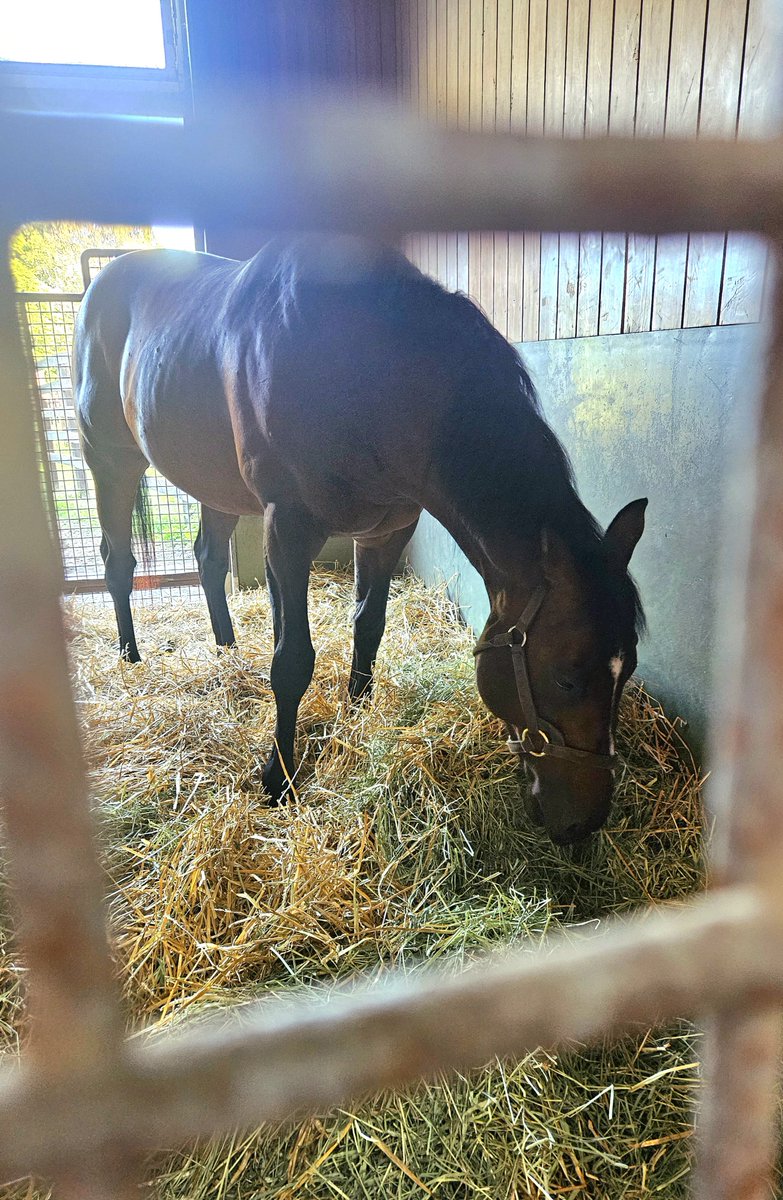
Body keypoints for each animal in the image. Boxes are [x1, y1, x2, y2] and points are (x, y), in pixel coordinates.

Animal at [72, 236, 646, 845]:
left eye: (627, 668)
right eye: (565, 678)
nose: (585, 821)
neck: (362, 371)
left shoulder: (388, 530)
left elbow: (369, 624)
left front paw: (359, 711)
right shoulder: (288, 528)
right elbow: (292, 660)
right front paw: (278, 778)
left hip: (215, 484)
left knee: (207, 558)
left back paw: (227, 650)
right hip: (109, 461)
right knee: (117, 563)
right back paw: (130, 657)